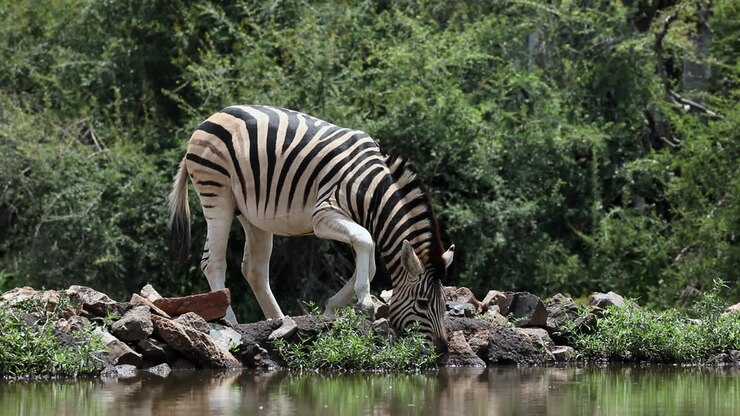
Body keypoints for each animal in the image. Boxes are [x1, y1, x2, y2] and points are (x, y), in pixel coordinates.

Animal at [168, 105, 454, 352]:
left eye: (444, 303)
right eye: (423, 303)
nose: (443, 350)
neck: (373, 192)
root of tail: (211, 117)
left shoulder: (355, 222)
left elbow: (370, 261)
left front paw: (332, 308)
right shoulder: (323, 214)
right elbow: (366, 241)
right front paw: (363, 300)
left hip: (252, 214)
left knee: (254, 269)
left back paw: (278, 320)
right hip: (217, 194)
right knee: (213, 262)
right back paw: (231, 321)